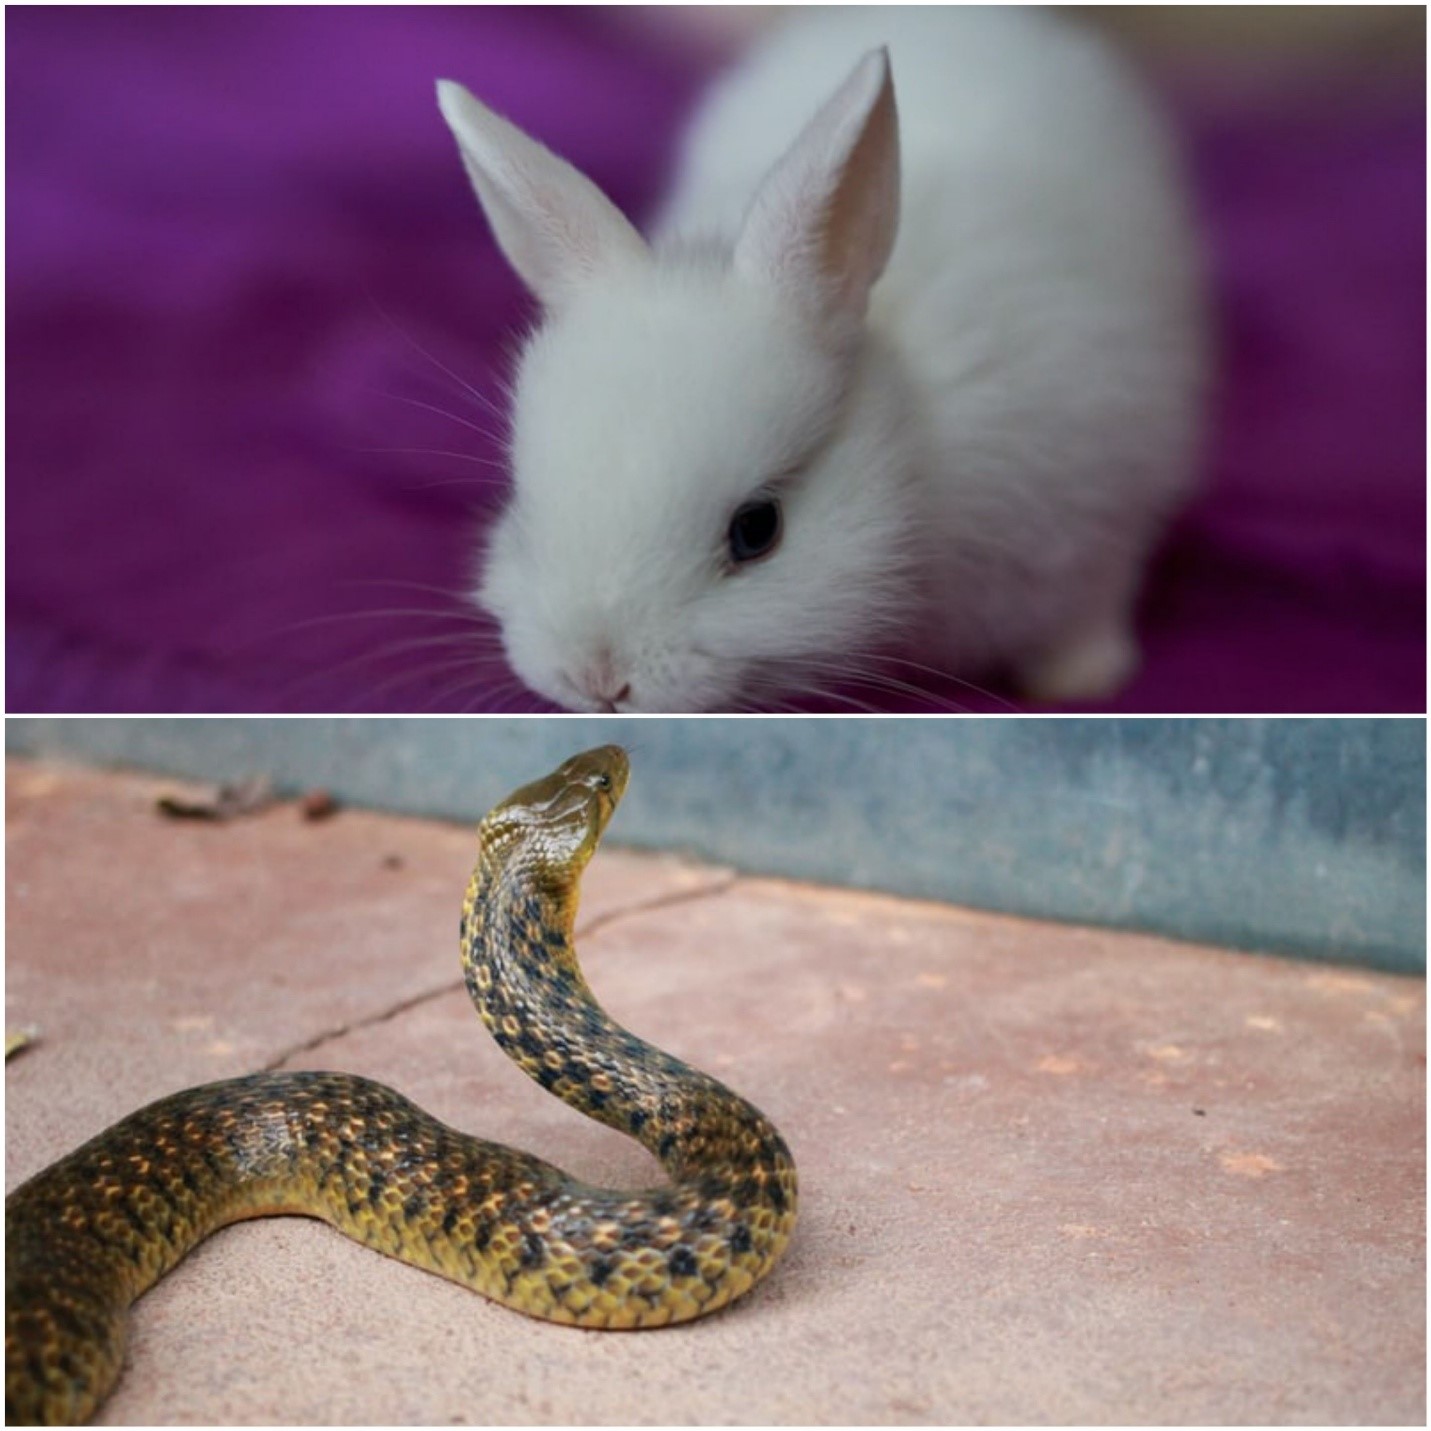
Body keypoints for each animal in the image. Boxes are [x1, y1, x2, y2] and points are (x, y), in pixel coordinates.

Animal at [436, 6, 1206, 712]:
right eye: (525, 506)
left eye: (757, 529)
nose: (596, 678)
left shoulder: (1096, 499)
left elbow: (1090, 601)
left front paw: (1081, 677)